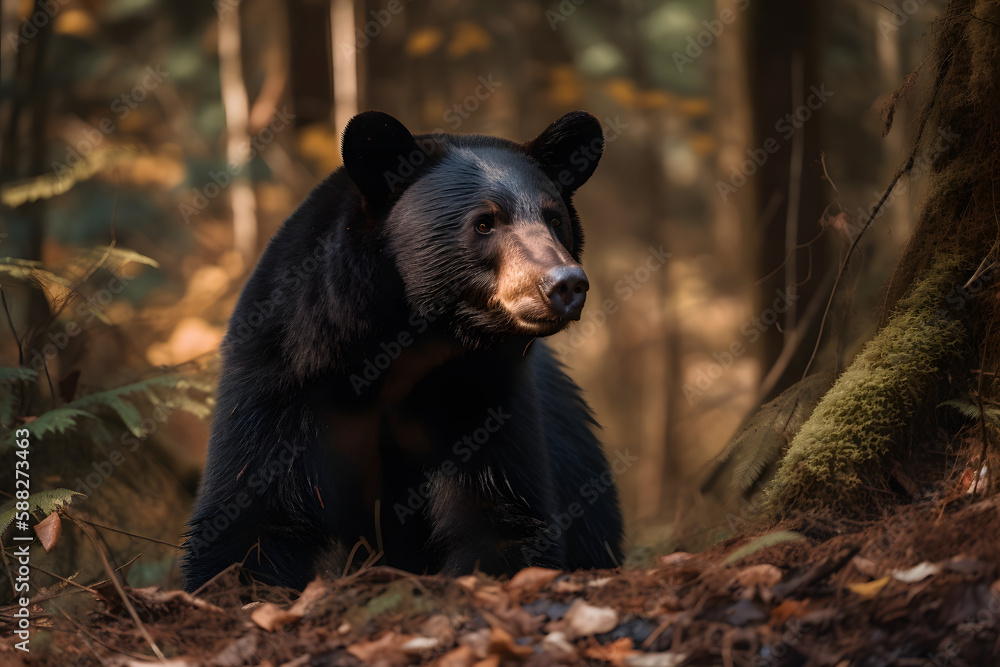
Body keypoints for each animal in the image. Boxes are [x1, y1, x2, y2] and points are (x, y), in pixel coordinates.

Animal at [181, 110, 623, 592]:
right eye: (484, 223)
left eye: (555, 219)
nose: (566, 284)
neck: (404, 346)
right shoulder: (286, 372)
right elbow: (252, 512)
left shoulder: (486, 395)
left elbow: (501, 511)